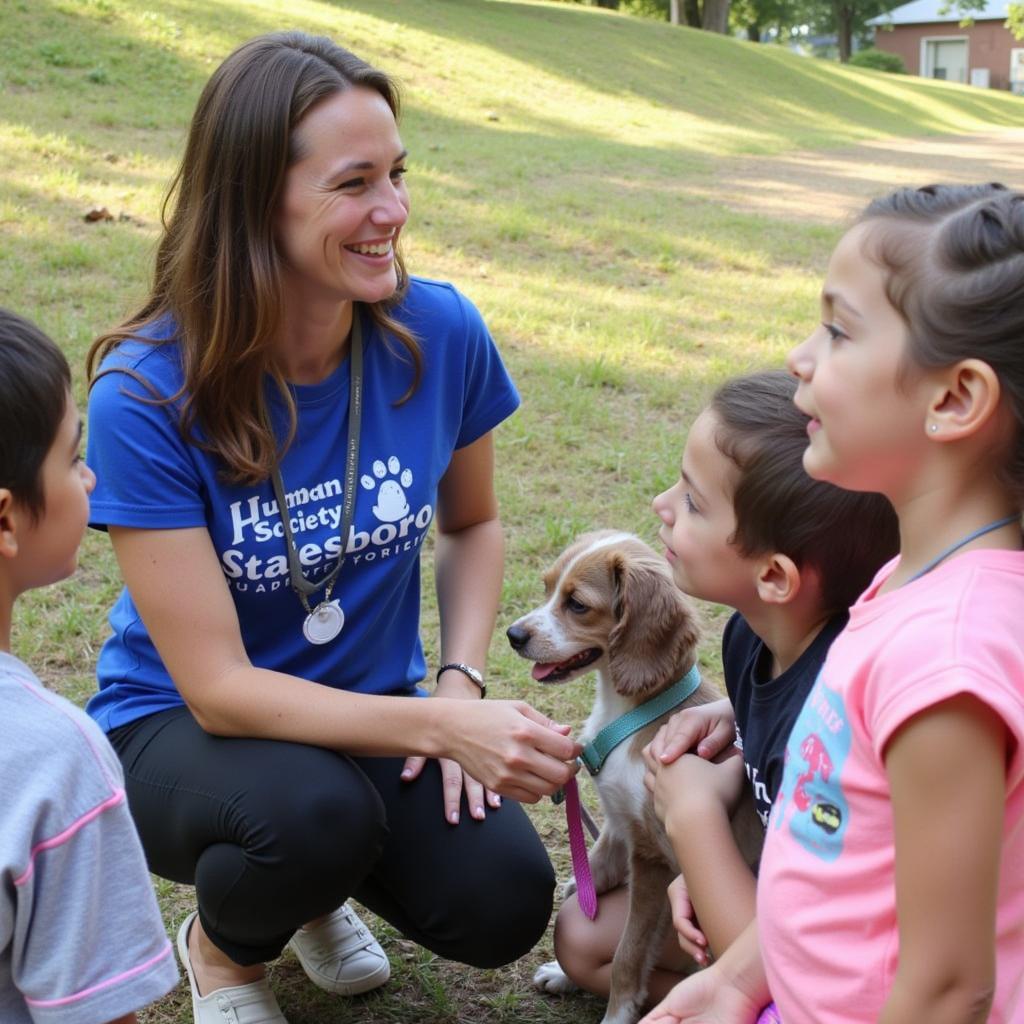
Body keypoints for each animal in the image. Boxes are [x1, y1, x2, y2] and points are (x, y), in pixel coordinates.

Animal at [505, 532, 761, 1019]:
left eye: (577, 604)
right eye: (547, 586)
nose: (513, 635)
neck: (628, 716)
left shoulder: (651, 859)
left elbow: (628, 951)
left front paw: (617, 1015)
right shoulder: (618, 826)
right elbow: (584, 891)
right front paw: (565, 974)